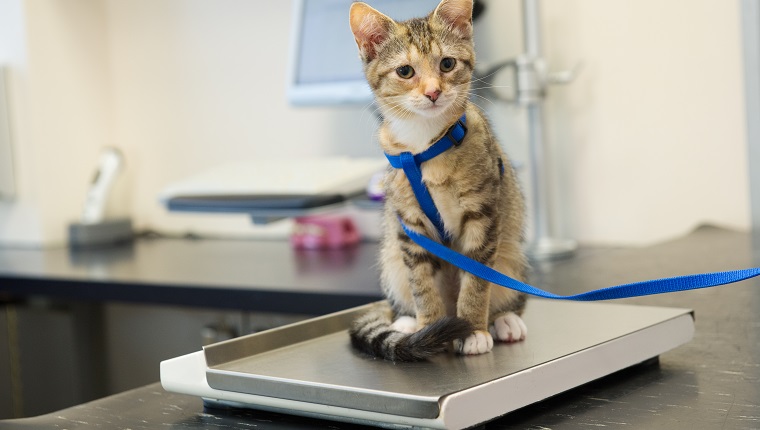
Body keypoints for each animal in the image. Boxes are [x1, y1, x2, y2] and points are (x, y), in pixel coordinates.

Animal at [350, 0, 528, 362]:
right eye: (405, 71)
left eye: (447, 63)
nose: (433, 92)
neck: (426, 144)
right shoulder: (411, 227)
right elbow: (422, 284)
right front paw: (429, 327)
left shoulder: (483, 215)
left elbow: (477, 280)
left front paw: (473, 330)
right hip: (391, 260)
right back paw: (407, 322)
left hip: (511, 254)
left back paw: (504, 320)